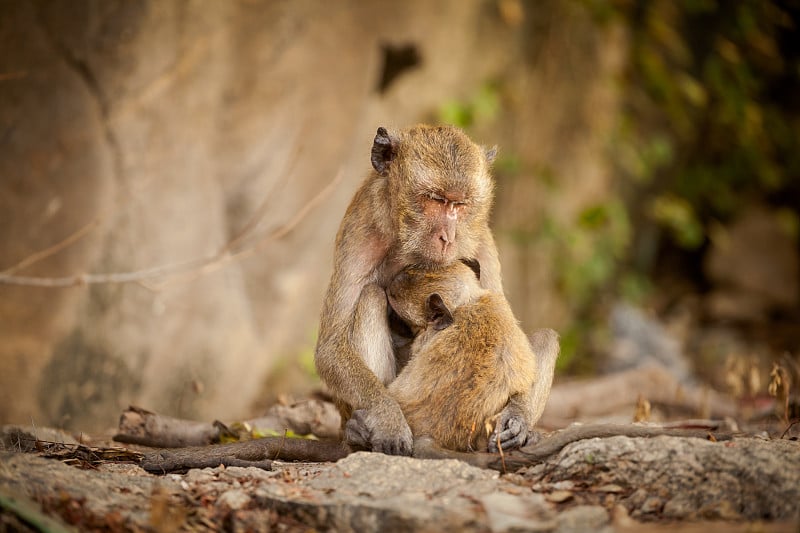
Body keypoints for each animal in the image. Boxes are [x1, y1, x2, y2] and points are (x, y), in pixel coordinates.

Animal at [314, 123, 496, 454]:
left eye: (459, 205)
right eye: (436, 199)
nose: (448, 238)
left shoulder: (480, 239)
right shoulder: (361, 231)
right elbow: (331, 348)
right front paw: (389, 420)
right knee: (370, 296)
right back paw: (359, 432)